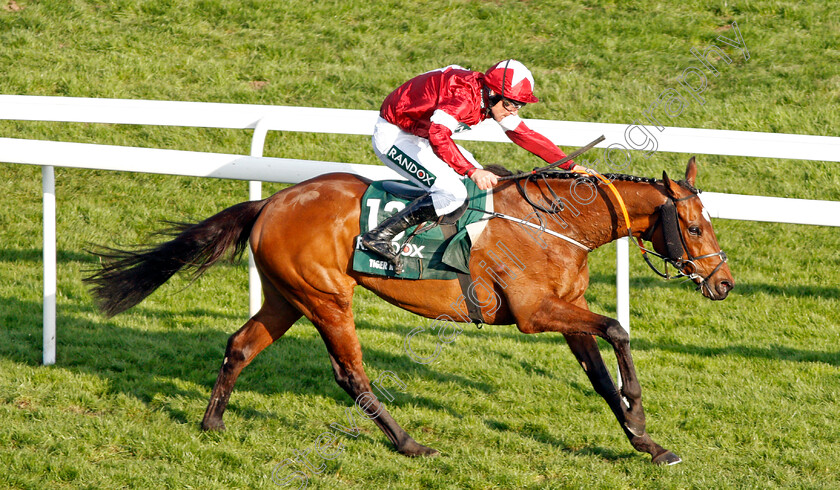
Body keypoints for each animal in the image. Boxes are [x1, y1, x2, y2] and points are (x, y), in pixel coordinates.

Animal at [82, 156, 732, 464]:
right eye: (695, 226)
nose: (723, 282)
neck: (557, 222)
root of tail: (270, 202)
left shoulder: (565, 309)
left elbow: (599, 374)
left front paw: (647, 443)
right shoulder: (535, 312)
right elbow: (618, 329)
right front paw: (639, 415)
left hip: (286, 296)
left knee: (241, 345)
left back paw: (212, 422)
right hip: (326, 297)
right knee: (350, 373)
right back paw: (408, 443)